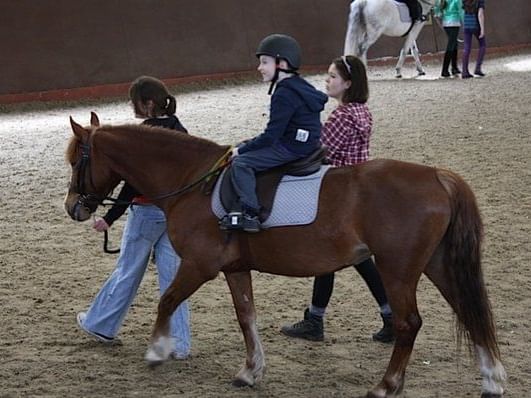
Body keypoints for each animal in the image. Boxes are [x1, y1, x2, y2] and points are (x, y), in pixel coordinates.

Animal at [64, 113, 504, 396]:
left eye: (75, 161)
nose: (73, 208)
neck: (193, 182)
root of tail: (438, 176)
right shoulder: (234, 269)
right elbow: (246, 317)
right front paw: (250, 372)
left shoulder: (200, 266)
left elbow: (167, 300)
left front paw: (157, 351)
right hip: (438, 264)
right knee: (470, 311)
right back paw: (492, 379)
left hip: (397, 269)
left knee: (409, 323)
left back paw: (386, 385)